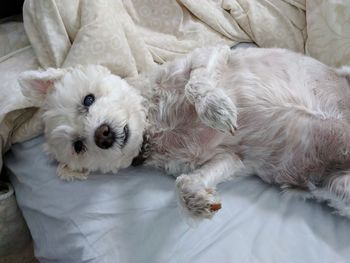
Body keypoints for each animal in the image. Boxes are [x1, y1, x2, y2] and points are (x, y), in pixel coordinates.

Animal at [19, 46, 350, 220]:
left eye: (88, 100)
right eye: (78, 146)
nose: (102, 135)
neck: (152, 123)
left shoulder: (210, 53)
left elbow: (196, 82)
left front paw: (217, 109)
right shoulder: (224, 159)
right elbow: (187, 181)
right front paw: (196, 202)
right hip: (338, 186)